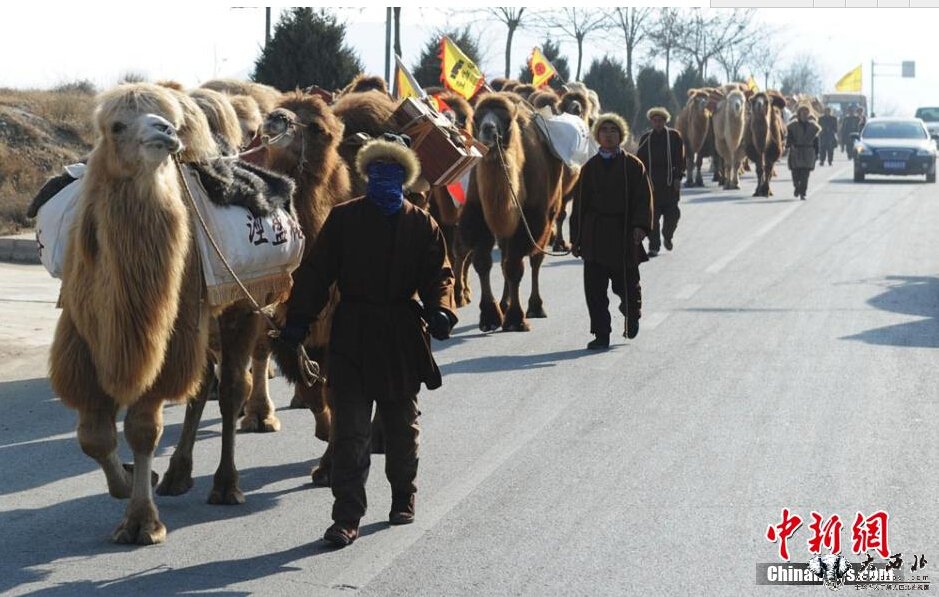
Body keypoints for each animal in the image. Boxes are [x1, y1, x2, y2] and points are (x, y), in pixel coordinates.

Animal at [48, 81, 294, 544]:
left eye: (170, 120)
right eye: (117, 126)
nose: (164, 132)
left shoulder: (161, 337)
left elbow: (143, 429)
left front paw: (141, 521)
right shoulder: (83, 345)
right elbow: (94, 437)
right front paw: (129, 481)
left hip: (240, 307)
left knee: (231, 388)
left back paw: (226, 485)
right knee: (201, 385)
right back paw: (179, 475)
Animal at [458, 92, 560, 330]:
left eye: (505, 119)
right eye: (477, 117)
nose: (488, 129)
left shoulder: (530, 219)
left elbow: (515, 267)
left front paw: (515, 319)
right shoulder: (477, 215)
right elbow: (483, 263)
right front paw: (489, 317)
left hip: (550, 211)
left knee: (535, 259)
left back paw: (535, 307)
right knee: (504, 255)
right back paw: (504, 304)